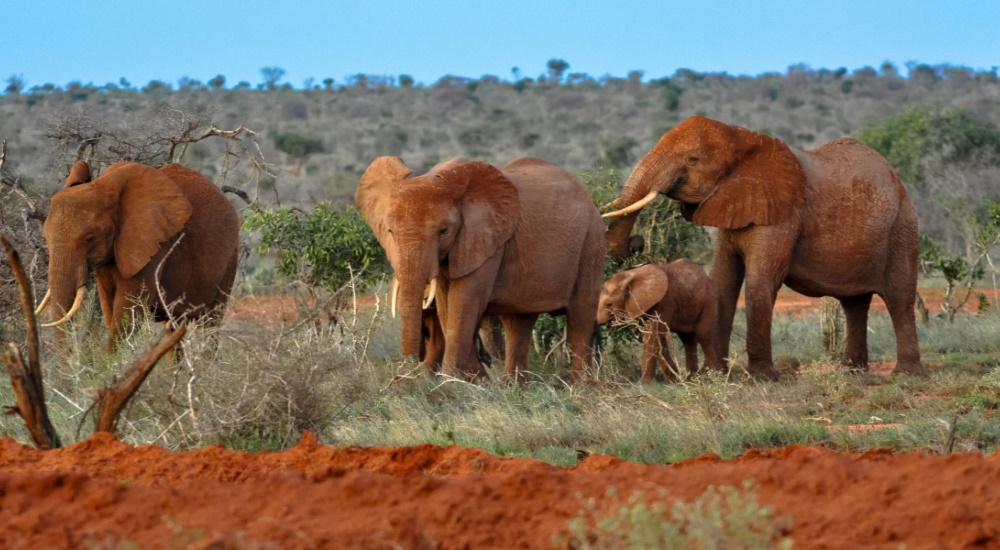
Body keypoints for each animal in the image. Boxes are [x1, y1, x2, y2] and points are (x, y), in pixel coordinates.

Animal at [39, 160, 244, 352]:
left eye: (90, 239)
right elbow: (109, 309)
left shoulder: (152, 248)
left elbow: (126, 316)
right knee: (173, 328)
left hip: (230, 258)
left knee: (210, 325)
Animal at [358, 157, 600, 384]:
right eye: (390, 231)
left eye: (444, 231)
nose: (405, 376)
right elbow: (446, 307)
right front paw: (475, 382)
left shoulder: (486, 240)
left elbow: (464, 302)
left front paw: (452, 385)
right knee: (518, 322)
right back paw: (513, 390)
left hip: (591, 238)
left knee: (581, 316)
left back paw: (580, 389)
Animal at [596, 262, 724, 384]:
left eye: (609, 304)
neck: (632, 274)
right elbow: (657, 336)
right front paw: (671, 381)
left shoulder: (664, 300)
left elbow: (654, 334)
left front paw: (645, 384)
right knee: (687, 339)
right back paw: (691, 378)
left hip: (709, 301)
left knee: (704, 335)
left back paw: (709, 375)